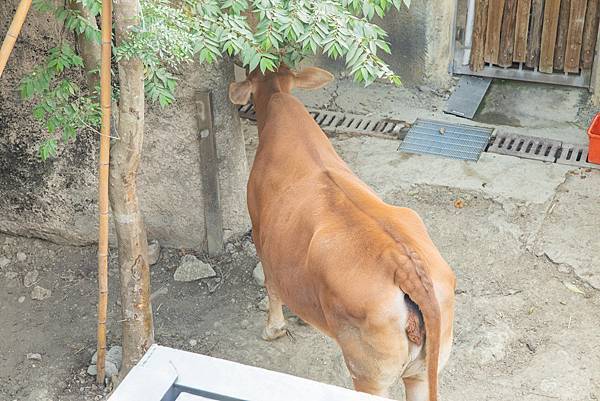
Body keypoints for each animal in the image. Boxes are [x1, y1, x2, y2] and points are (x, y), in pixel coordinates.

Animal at [230, 66, 454, 400]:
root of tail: (405, 267)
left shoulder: (258, 229)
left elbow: (272, 285)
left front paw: (274, 328)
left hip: (369, 375)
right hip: (424, 370)